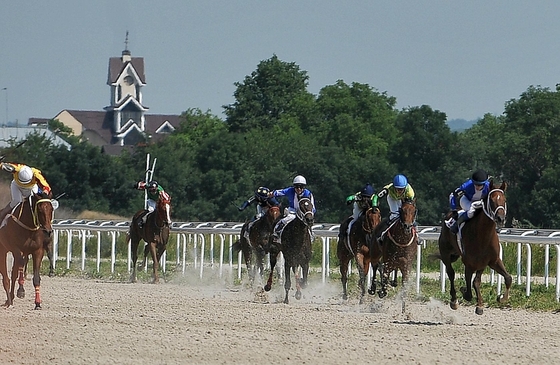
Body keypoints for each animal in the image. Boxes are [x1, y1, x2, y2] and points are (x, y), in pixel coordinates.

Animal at [438, 181, 512, 314]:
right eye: (491, 200)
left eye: (504, 200)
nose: (500, 218)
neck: (483, 235)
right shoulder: (469, 262)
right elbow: (470, 285)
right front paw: (466, 294)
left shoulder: (491, 261)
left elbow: (507, 278)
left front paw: (501, 298)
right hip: (445, 253)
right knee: (451, 273)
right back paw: (454, 300)